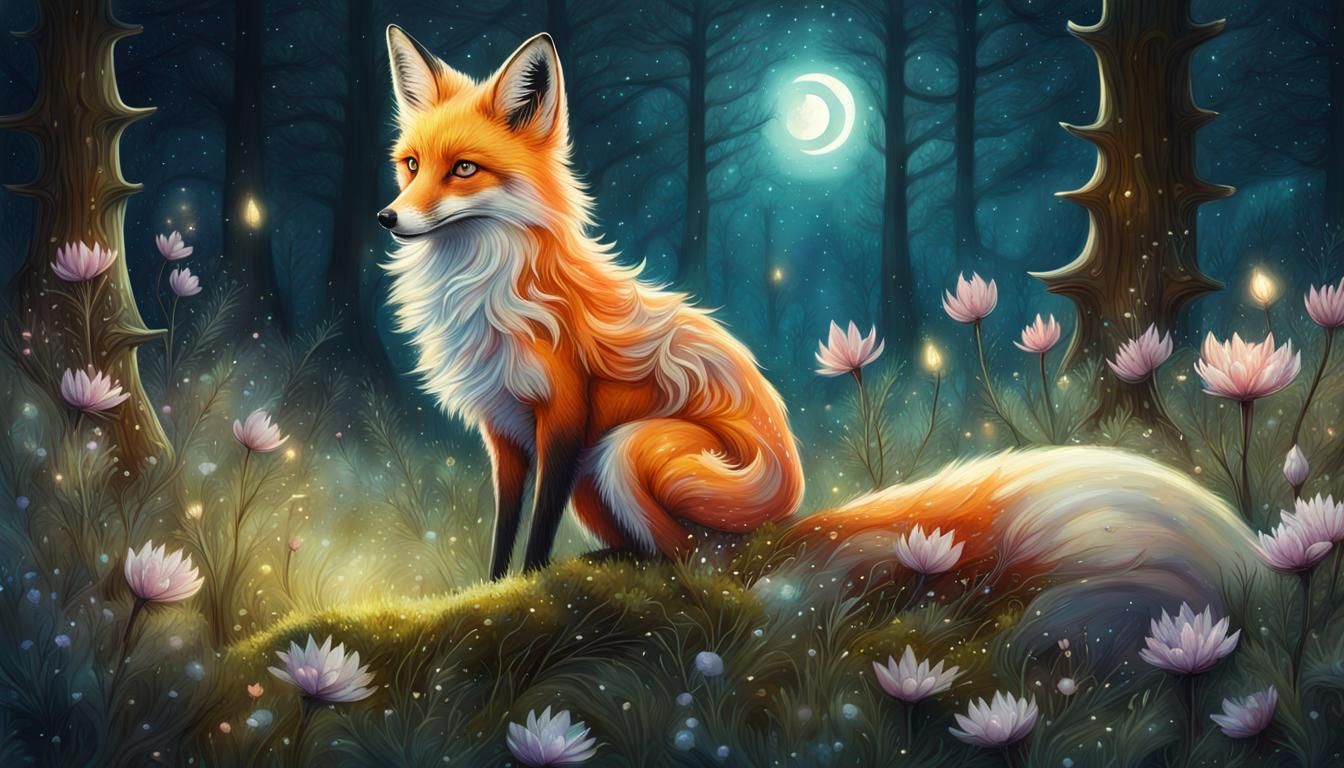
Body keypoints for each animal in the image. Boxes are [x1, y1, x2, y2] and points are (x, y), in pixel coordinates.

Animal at [379, 28, 1260, 663]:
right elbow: (503, 530)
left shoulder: (565, 418)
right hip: (612, 469)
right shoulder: (504, 433)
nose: (388, 218)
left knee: (693, 564)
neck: (485, 289)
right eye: (410, 165)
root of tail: (790, 522)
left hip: (628, 448)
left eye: (465, 170)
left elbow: (535, 531)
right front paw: (487, 588)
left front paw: (522, 587)